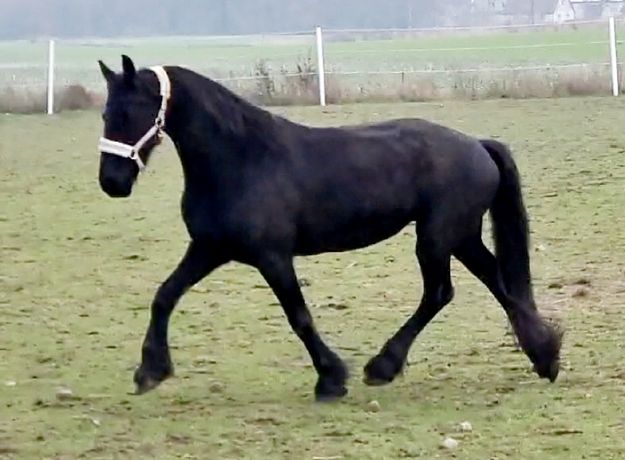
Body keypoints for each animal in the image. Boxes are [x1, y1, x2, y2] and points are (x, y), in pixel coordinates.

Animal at [96, 54, 560, 402]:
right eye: (104, 113)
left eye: (129, 112)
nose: (112, 182)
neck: (242, 158)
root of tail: (476, 145)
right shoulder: (209, 248)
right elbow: (164, 296)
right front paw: (151, 370)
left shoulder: (272, 257)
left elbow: (299, 317)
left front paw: (331, 378)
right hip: (460, 237)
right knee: (498, 283)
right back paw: (545, 356)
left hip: (436, 238)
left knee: (440, 293)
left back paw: (383, 367)